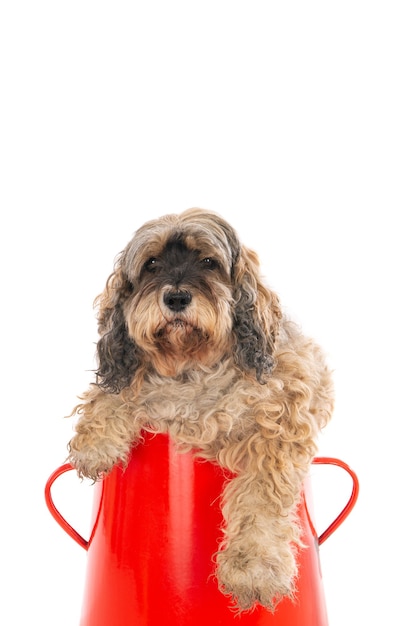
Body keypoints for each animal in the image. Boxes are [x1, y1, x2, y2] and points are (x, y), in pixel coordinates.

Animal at [66, 208, 334, 608]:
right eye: (152, 263)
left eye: (209, 262)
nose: (176, 298)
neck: (192, 368)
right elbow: (114, 393)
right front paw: (95, 444)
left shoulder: (282, 422)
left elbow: (261, 491)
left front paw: (254, 567)